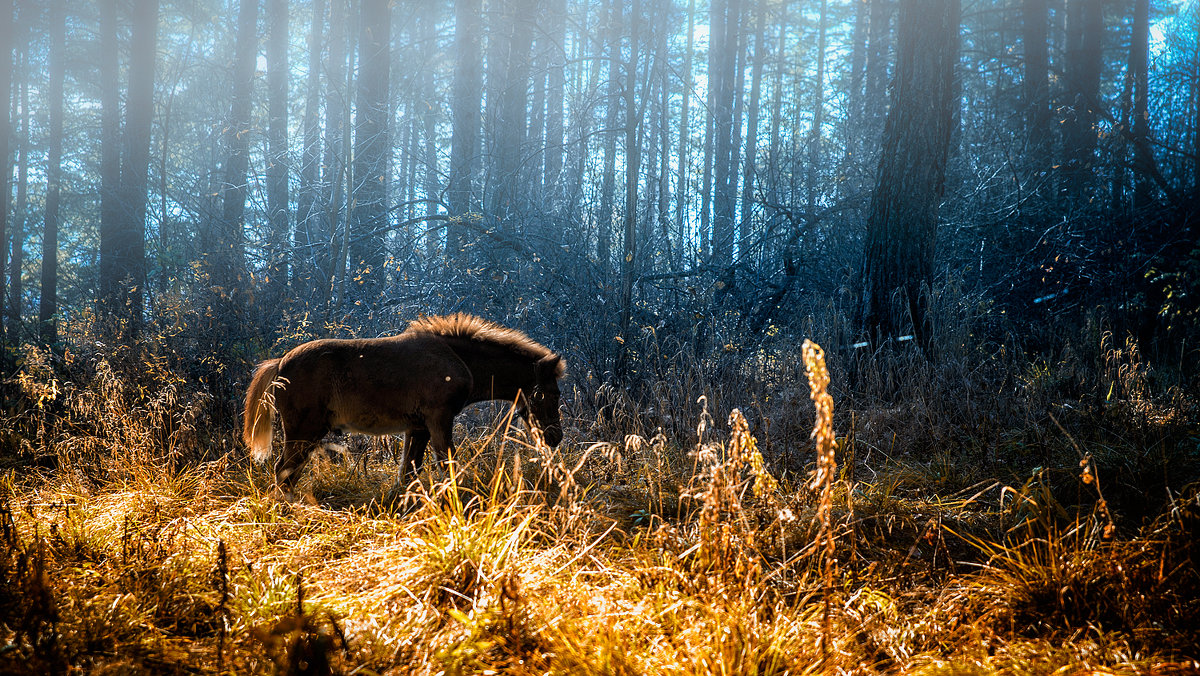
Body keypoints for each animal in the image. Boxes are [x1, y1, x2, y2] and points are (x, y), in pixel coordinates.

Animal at [243, 314, 566, 497]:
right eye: (550, 393)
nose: (555, 437)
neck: (460, 360)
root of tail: (279, 364)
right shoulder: (439, 419)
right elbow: (447, 464)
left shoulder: (418, 428)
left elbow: (409, 472)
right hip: (304, 431)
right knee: (284, 472)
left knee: (288, 473)